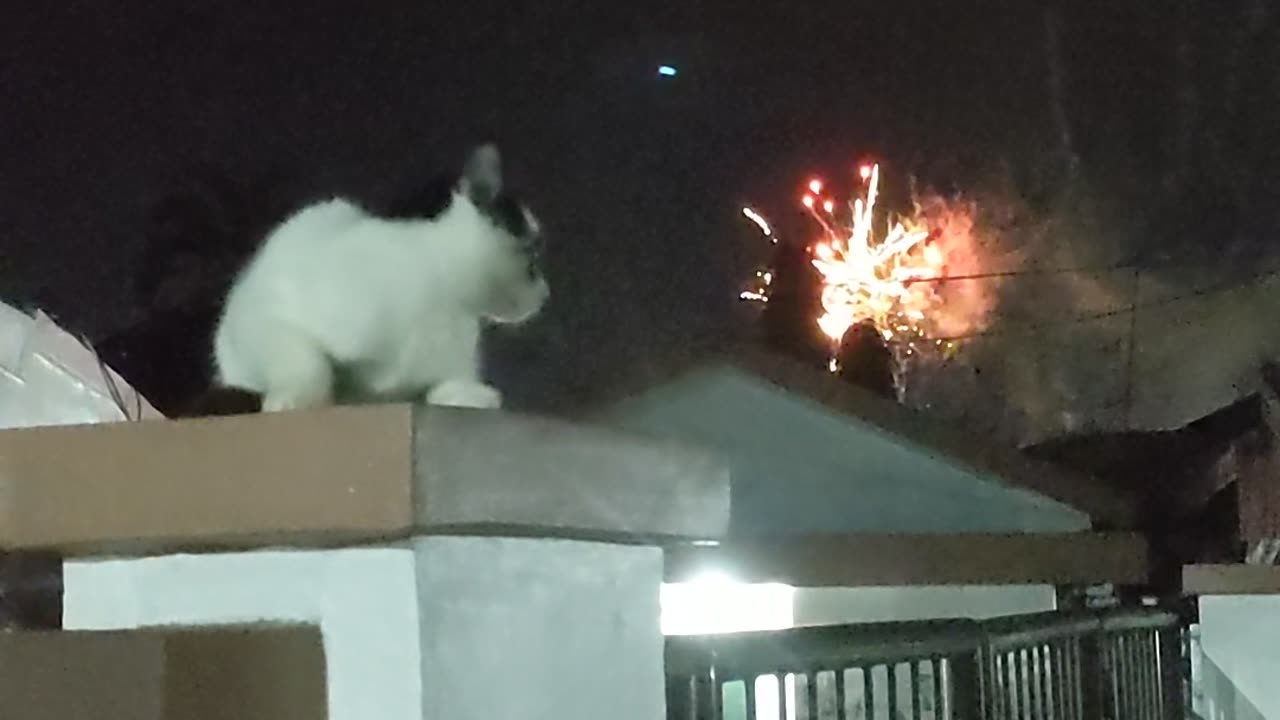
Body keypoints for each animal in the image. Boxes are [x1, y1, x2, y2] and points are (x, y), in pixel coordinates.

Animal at [211, 142, 550, 412]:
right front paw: (294, 399)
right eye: (533, 257)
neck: (444, 300)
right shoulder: (270, 315)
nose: (546, 293)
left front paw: (469, 395)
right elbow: (308, 361)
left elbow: (444, 389)